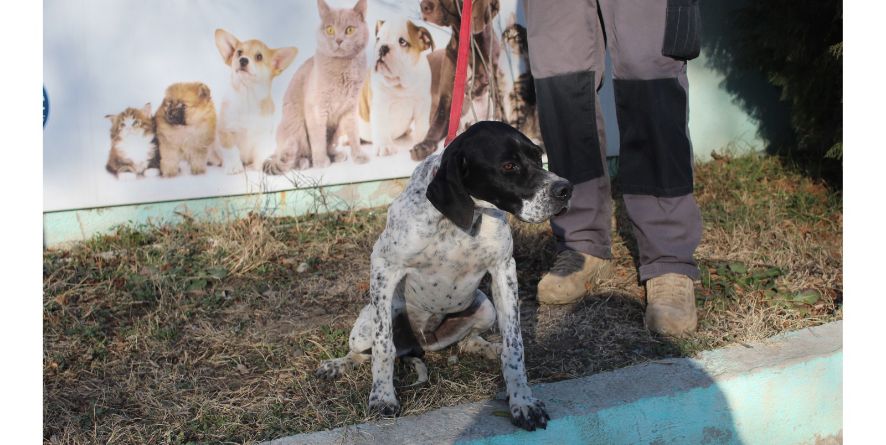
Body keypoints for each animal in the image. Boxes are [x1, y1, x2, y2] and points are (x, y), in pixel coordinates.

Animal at [316, 119, 572, 428]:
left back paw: (490, 348)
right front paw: (382, 397)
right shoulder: (383, 267)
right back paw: (336, 365)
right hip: (364, 327)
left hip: (486, 308)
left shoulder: (503, 270)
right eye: (509, 166)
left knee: (468, 341)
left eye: (537, 155)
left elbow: (515, 347)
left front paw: (522, 401)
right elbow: (383, 346)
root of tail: (423, 342)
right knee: (363, 352)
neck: (462, 219)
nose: (565, 189)